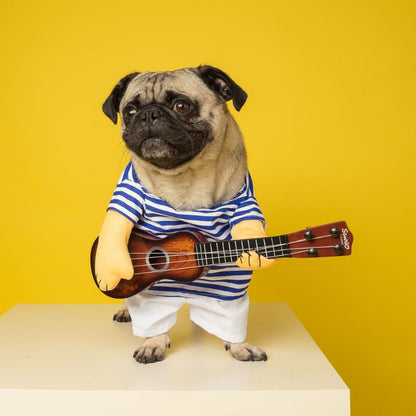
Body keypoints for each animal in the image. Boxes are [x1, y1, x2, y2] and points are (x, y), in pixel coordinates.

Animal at [95, 66, 274, 364]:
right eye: (129, 111)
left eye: (181, 106)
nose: (149, 114)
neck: (185, 178)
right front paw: (153, 343)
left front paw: (239, 345)